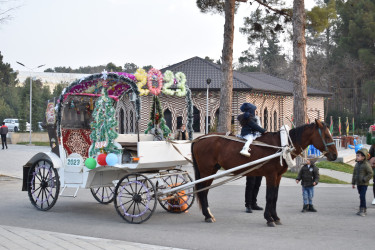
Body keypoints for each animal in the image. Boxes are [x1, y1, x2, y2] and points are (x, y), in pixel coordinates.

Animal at [192, 119, 340, 227]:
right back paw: (207, 215)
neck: (282, 145)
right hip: (206, 171)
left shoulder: (278, 176)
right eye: (327, 136)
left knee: (204, 191)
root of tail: (198, 139)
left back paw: (208, 214)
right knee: (203, 192)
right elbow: (269, 196)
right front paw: (269, 218)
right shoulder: (271, 175)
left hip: (212, 170)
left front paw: (275, 217)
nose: (335, 155)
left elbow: (274, 197)